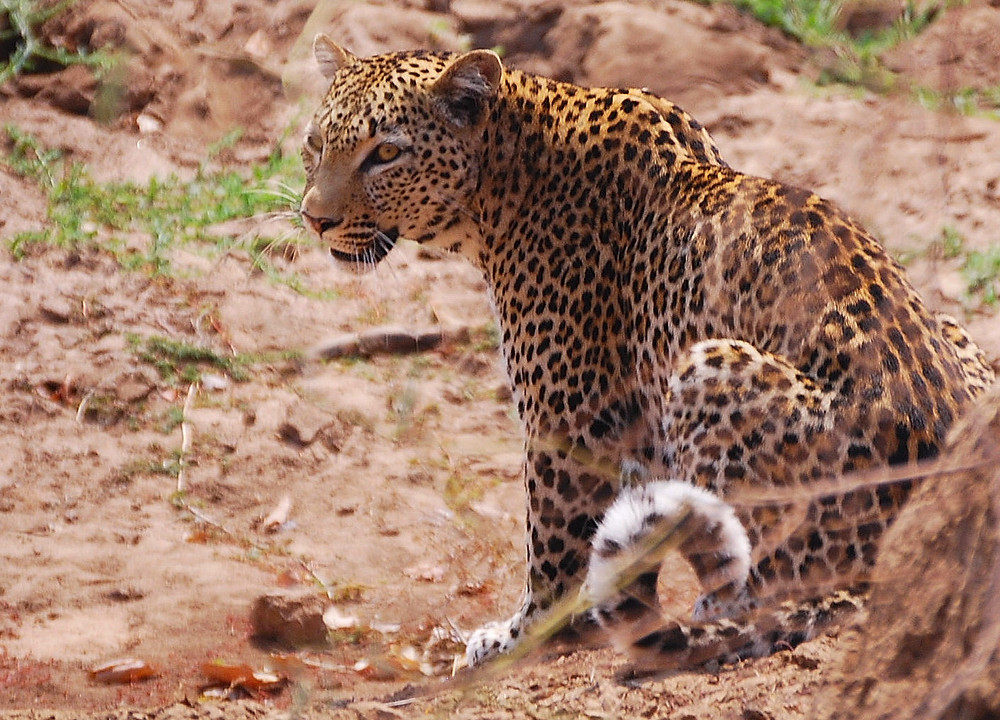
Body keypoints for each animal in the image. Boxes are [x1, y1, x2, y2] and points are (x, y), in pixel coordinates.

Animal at [298, 35, 995, 672]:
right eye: (314, 144)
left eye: (386, 153)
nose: (313, 218)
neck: (505, 182)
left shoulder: (571, 422)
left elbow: (553, 547)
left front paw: (521, 637)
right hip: (952, 332)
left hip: (708, 366)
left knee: (785, 584)